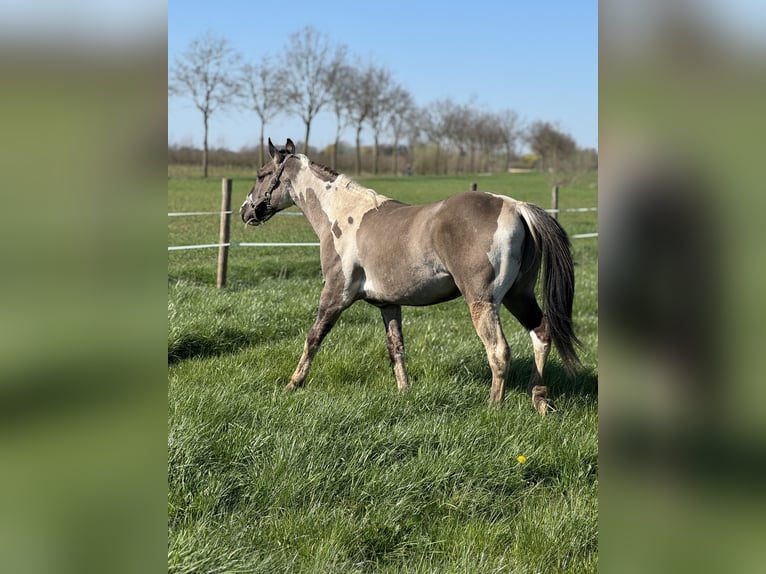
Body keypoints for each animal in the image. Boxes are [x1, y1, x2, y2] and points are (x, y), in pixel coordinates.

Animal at [240, 138, 580, 414]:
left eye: (261, 175)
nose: (246, 211)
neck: (342, 215)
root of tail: (515, 206)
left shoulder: (335, 294)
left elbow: (313, 338)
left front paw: (293, 383)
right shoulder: (388, 304)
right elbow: (396, 348)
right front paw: (404, 392)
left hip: (483, 302)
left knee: (498, 350)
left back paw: (493, 408)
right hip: (518, 296)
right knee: (542, 333)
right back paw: (540, 399)